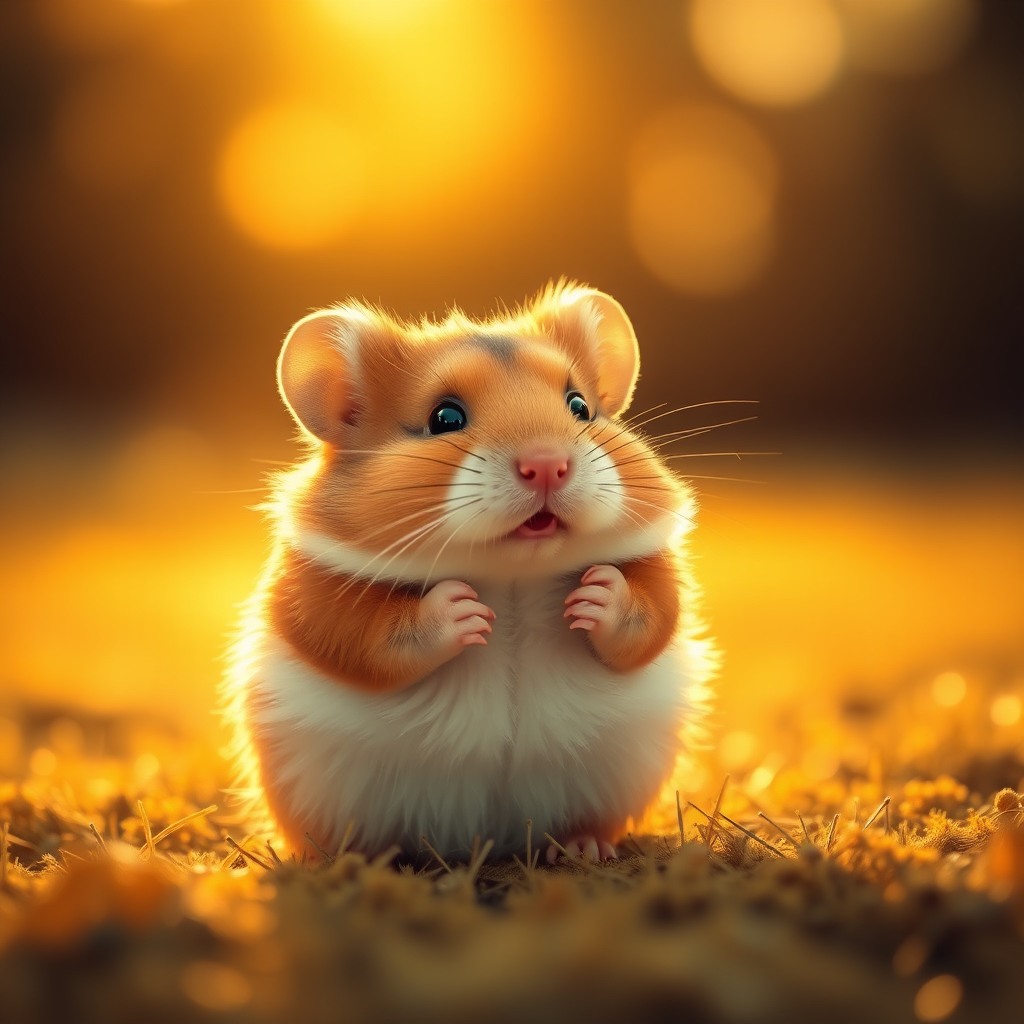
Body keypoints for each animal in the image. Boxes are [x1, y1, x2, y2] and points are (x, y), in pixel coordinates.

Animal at [222, 281, 714, 864]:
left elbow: (652, 612)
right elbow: (357, 634)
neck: (512, 576)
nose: (547, 464)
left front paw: (592, 595)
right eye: (445, 418)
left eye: (579, 407)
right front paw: (466, 611)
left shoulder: (657, 569)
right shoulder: (309, 585)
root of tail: (483, 840)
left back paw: (582, 848)